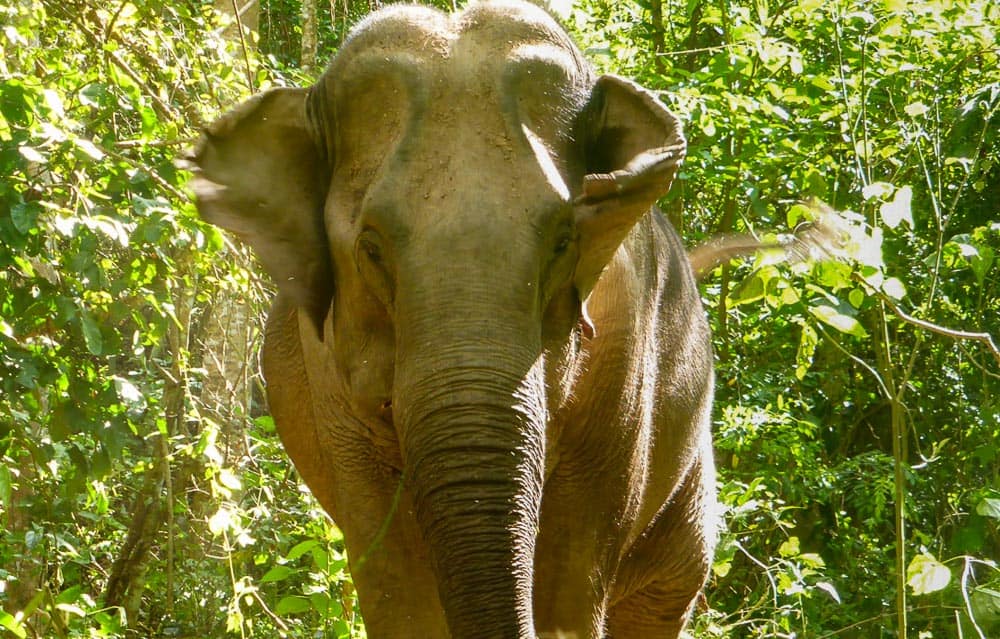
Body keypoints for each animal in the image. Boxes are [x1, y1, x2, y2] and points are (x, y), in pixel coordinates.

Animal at [188, 1, 720, 639]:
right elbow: (394, 576)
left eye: (562, 240)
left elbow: (570, 575)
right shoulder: (327, 383)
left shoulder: (623, 350)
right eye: (371, 247)